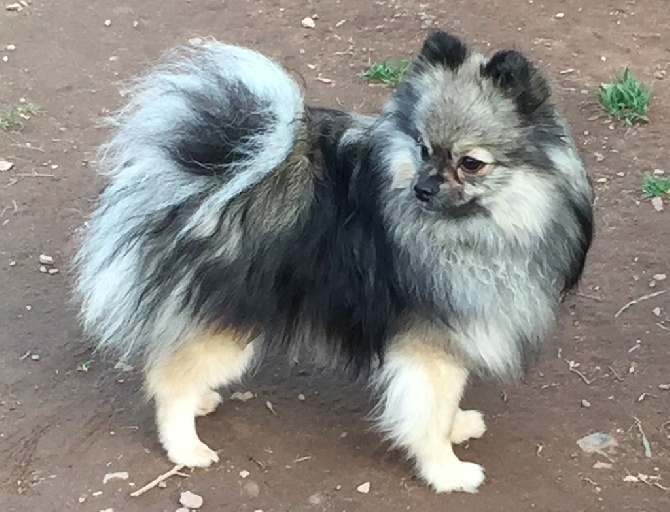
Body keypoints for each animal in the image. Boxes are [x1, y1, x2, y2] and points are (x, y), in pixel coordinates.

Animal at [76, 31, 596, 492]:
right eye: (422, 149)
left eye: (471, 163)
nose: (422, 189)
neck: (484, 228)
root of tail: (206, 170)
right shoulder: (429, 345)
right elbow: (429, 414)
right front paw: (447, 471)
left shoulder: (449, 337)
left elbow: (446, 405)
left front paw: (459, 425)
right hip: (233, 320)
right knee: (168, 381)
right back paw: (186, 448)